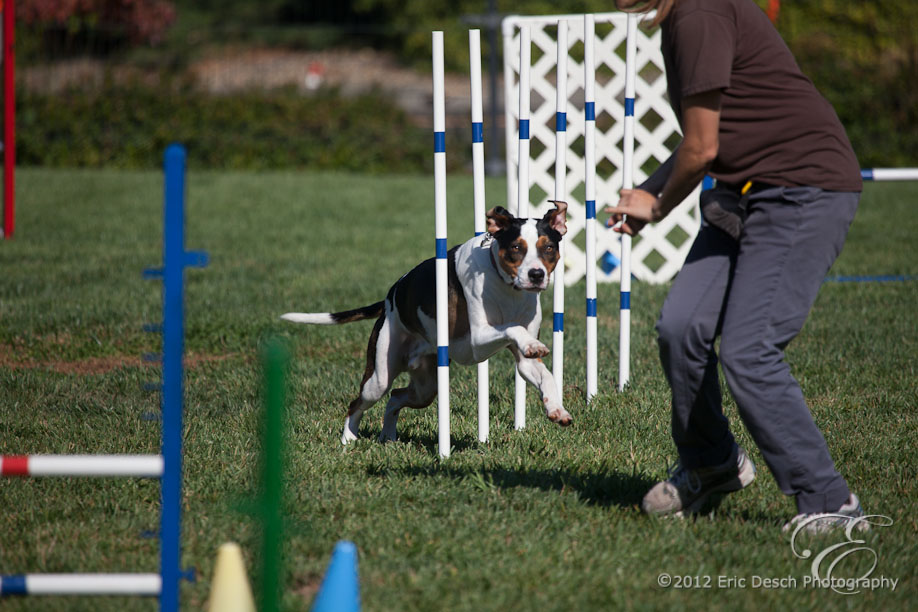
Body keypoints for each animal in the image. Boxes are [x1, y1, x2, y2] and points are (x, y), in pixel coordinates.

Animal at [280, 201, 572, 444]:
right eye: (515, 248)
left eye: (548, 247)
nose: (536, 275)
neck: (507, 287)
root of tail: (389, 297)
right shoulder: (478, 338)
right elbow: (513, 328)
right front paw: (532, 344)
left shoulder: (524, 363)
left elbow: (545, 375)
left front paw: (557, 409)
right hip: (380, 375)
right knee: (359, 403)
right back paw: (348, 440)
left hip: (425, 386)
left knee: (396, 397)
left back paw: (388, 437)